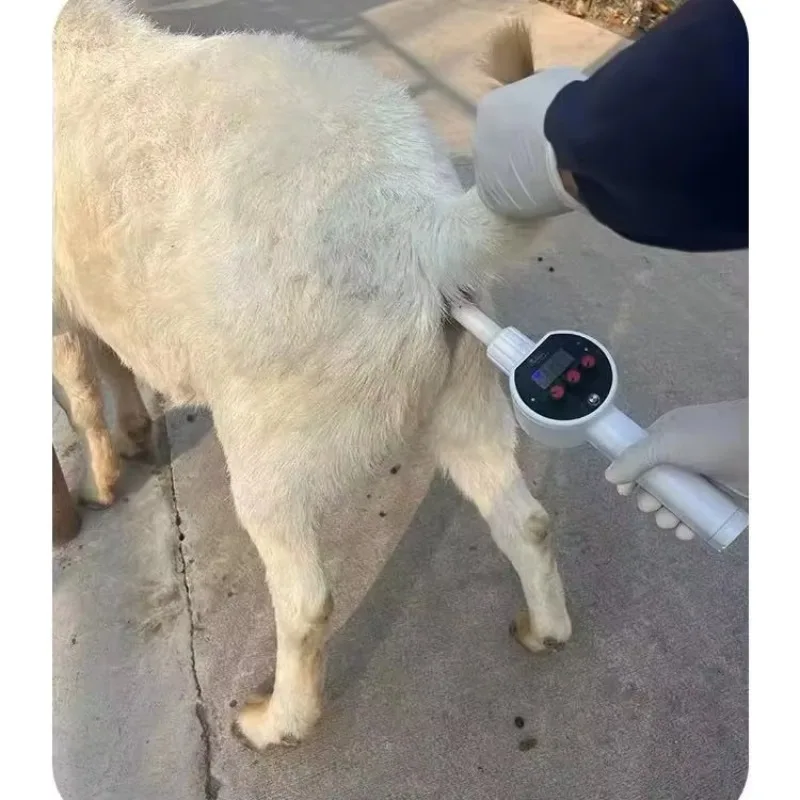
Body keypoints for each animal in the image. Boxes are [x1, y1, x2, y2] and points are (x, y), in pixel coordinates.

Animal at [53, 0, 570, 749]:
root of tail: (418, 222)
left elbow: (82, 394)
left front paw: (100, 480)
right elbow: (115, 365)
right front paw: (133, 436)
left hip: (269, 443)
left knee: (305, 601)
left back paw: (276, 723)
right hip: (468, 386)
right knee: (524, 518)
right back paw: (544, 629)